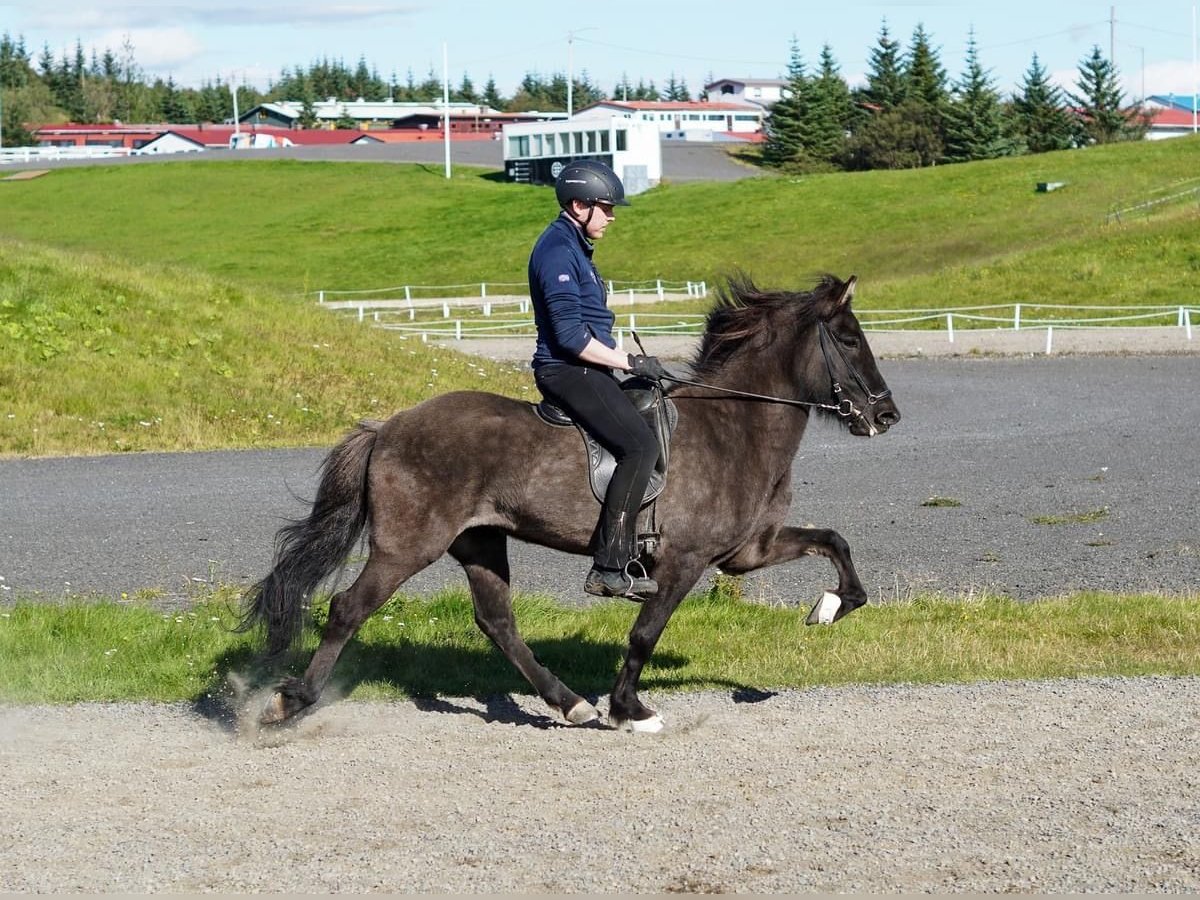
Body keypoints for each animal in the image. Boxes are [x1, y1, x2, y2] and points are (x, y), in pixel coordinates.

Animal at [241, 273, 902, 734]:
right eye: (848, 339)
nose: (886, 416)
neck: (734, 426)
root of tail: (388, 426)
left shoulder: (746, 552)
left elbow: (834, 541)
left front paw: (830, 607)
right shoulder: (684, 561)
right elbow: (645, 632)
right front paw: (631, 709)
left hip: (478, 541)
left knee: (497, 622)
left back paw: (571, 704)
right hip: (408, 546)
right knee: (349, 609)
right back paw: (289, 703)